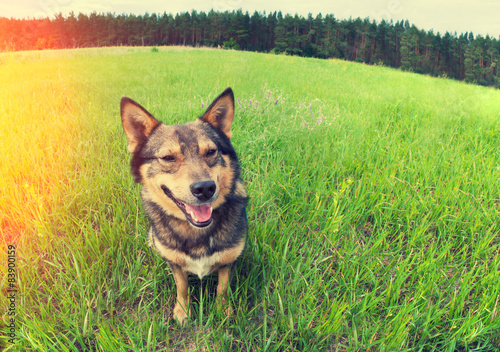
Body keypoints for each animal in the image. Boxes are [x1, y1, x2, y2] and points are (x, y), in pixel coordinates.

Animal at [119, 88, 248, 328]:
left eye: (211, 152)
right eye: (168, 157)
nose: (205, 188)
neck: (196, 231)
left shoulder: (228, 260)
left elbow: (222, 286)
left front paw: (223, 311)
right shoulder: (175, 264)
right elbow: (182, 286)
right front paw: (182, 311)